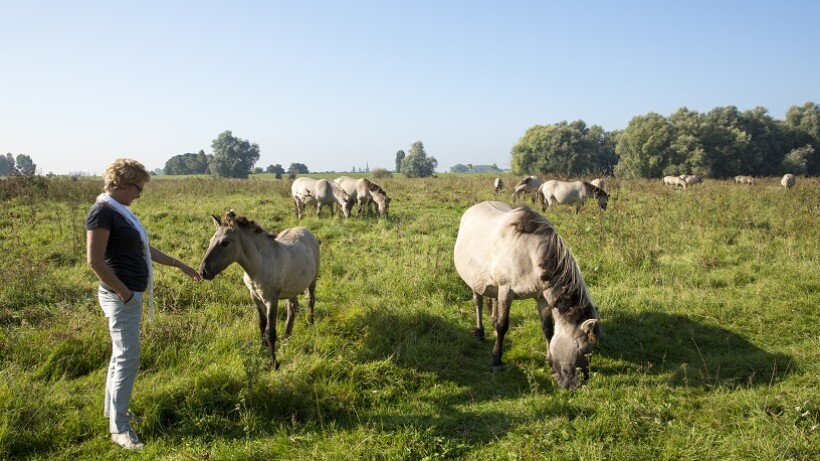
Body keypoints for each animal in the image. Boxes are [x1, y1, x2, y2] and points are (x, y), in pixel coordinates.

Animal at [199, 211, 320, 366]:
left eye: (225, 243)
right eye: (210, 241)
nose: (203, 271)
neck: (259, 265)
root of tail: (305, 229)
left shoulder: (271, 300)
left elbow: (270, 331)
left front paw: (274, 363)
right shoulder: (255, 297)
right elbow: (262, 325)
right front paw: (262, 350)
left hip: (312, 280)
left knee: (310, 300)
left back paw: (310, 325)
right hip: (292, 287)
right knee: (292, 307)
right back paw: (286, 337)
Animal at [452, 201, 600, 388]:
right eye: (582, 348)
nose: (577, 384)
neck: (530, 253)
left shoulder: (542, 297)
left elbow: (547, 328)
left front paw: (549, 360)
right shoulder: (506, 290)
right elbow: (503, 326)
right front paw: (496, 360)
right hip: (475, 280)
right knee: (478, 301)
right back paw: (480, 332)